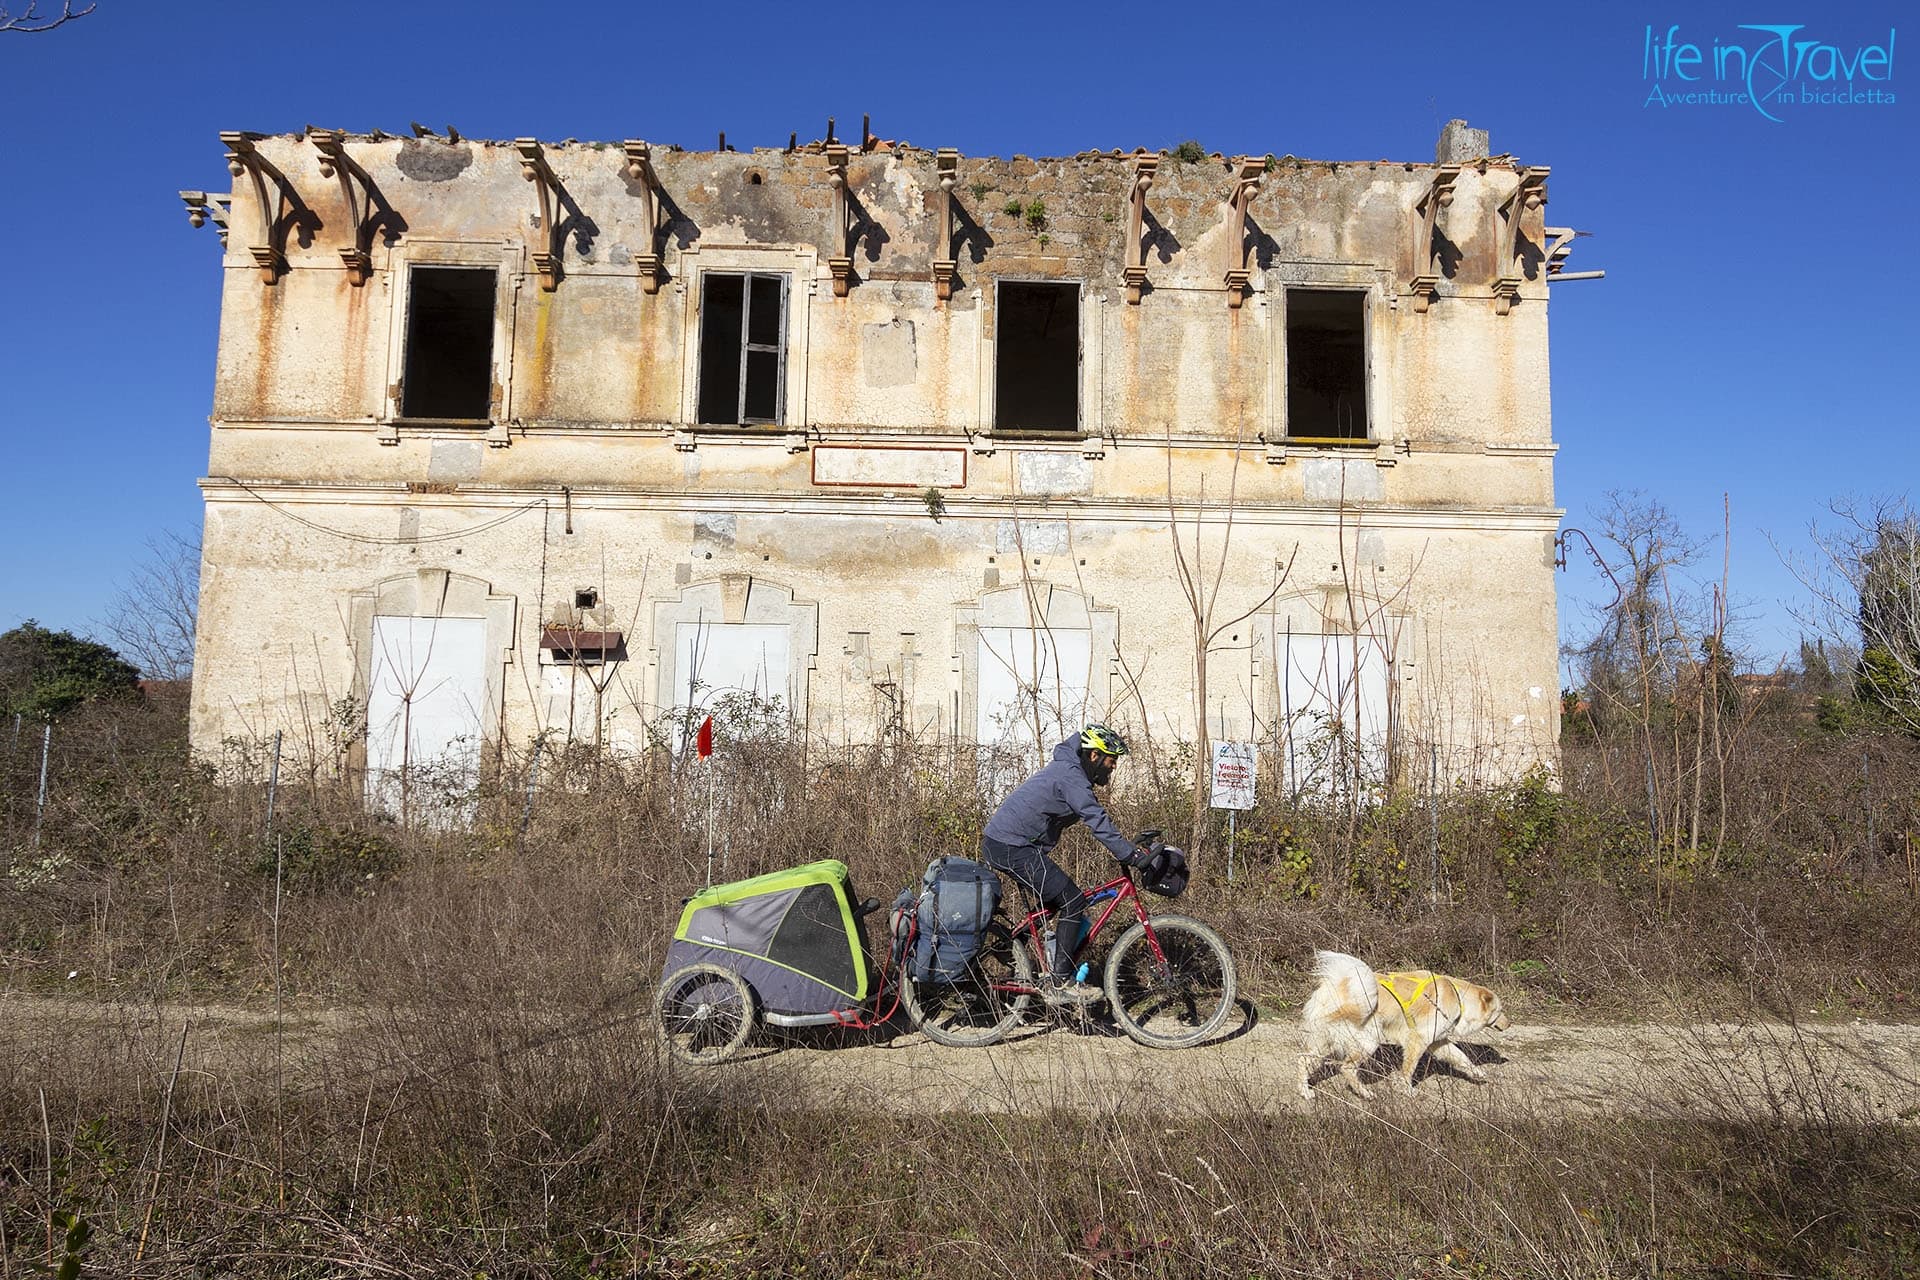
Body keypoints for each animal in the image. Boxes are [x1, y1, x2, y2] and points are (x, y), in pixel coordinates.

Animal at [1297, 951, 1505, 1105]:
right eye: (1500, 1010)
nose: (1508, 1023)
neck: (1458, 997)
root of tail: (1339, 985)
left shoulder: (1438, 1042)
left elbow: (1462, 1058)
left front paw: (1477, 1073)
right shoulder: (1418, 1040)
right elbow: (1408, 1069)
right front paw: (1406, 1089)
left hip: (1322, 1041)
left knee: (1303, 1060)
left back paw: (1305, 1091)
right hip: (1368, 1041)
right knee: (1346, 1068)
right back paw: (1365, 1093)